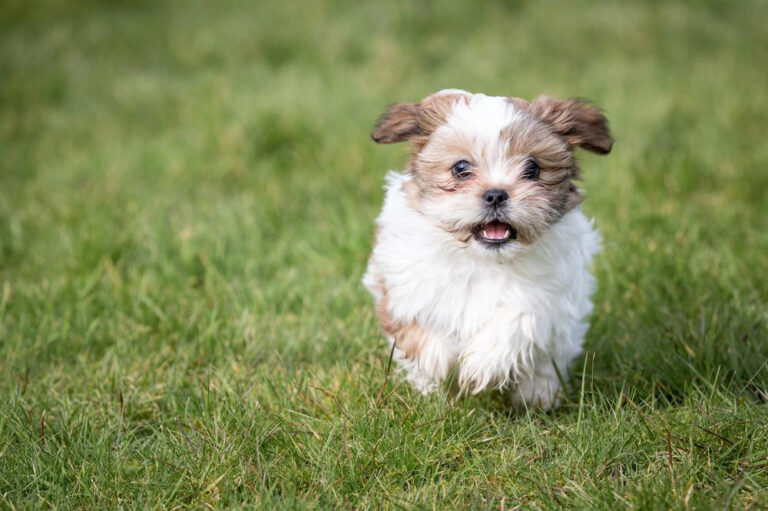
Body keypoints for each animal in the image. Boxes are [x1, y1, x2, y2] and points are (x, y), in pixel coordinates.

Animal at [364, 87, 616, 408]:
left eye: (532, 168)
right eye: (460, 168)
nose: (496, 194)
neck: (482, 260)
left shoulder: (552, 291)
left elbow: (520, 318)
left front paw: (482, 363)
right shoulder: (403, 279)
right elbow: (418, 323)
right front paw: (435, 360)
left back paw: (538, 397)